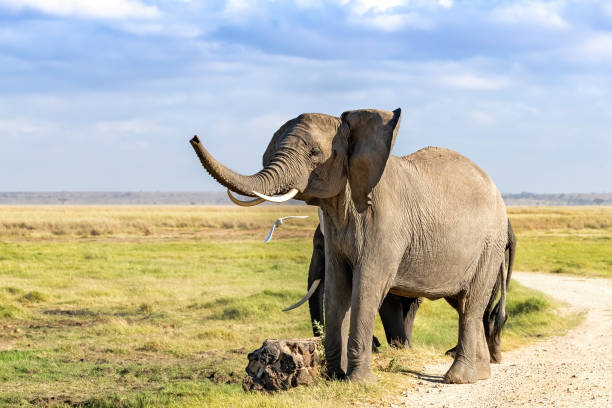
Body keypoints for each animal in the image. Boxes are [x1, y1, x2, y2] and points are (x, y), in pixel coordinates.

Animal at [190, 107, 512, 382]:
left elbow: (367, 285)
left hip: (490, 244)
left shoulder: (385, 224)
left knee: (472, 304)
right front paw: (335, 377)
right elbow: (336, 286)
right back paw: (480, 374)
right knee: (464, 304)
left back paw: (457, 379)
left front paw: (359, 381)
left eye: (314, 153)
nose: (194, 137)